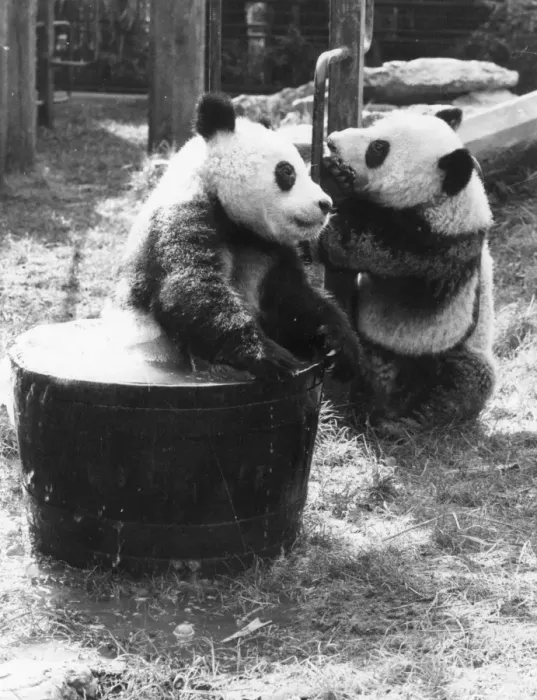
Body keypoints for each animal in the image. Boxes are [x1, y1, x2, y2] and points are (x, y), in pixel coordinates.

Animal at [107, 92, 362, 382]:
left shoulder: (268, 247)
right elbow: (190, 289)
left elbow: (293, 299)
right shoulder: (178, 222)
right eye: (287, 171)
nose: (325, 204)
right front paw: (271, 356)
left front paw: (337, 343)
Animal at [318, 106, 496, 430]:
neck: (446, 198)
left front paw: (336, 182)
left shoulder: (436, 249)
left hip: (446, 352)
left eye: (378, 148)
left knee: (464, 381)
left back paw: (406, 420)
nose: (332, 140)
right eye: (375, 124)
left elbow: (361, 245)